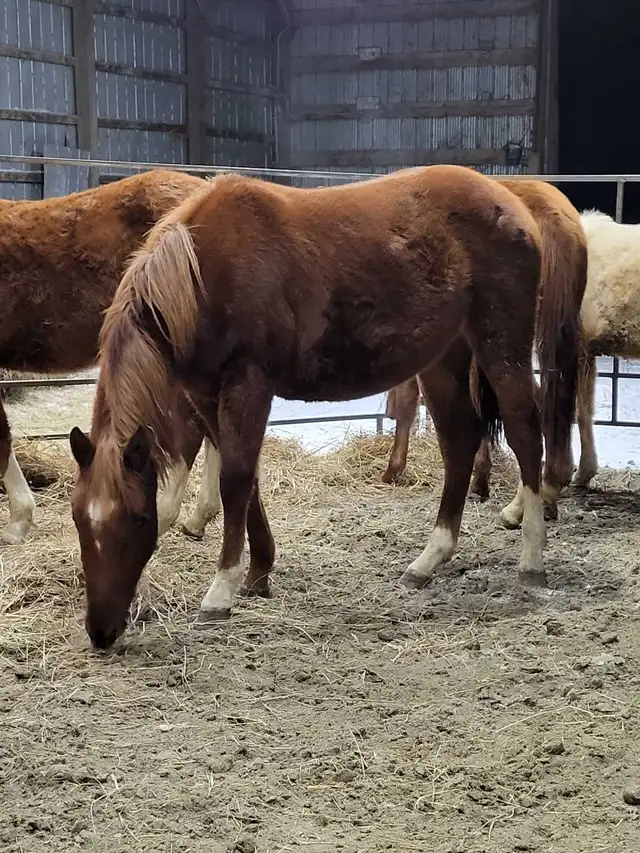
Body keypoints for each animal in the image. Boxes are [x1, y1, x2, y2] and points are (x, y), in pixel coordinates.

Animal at [69, 163, 558, 650]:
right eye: (77, 519)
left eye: (138, 520)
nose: (101, 631)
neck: (201, 276)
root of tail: (511, 202)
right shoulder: (207, 396)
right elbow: (245, 477)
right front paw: (259, 571)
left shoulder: (248, 385)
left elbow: (236, 480)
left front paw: (221, 591)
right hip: (444, 360)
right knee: (459, 443)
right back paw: (428, 560)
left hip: (501, 347)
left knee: (525, 433)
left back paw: (531, 556)